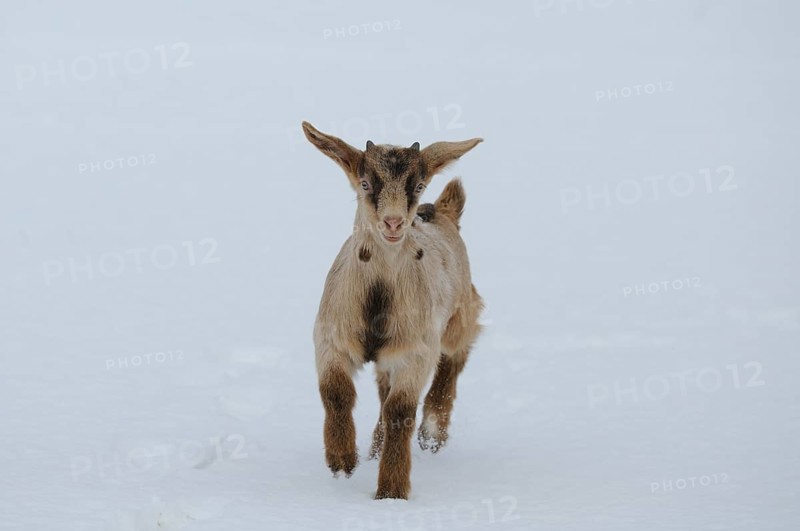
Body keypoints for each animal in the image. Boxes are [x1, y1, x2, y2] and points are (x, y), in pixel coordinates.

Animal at [302, 121, 484, 500]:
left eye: (418, 185)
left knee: (455, 356)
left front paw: (391, 491)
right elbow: (336, 391)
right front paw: (342, 460)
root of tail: (443, 213)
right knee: (383, 388)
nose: (394, 223)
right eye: (366, 183)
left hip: (460, 313)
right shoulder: (330, 338)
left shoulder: (415, 351)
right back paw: (373, 449)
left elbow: (400, 411)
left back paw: (432, 432)